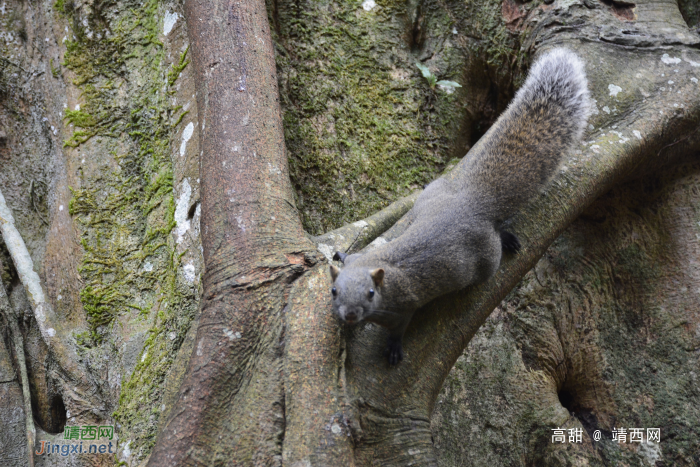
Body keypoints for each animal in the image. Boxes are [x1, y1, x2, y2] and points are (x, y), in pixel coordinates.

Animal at [328, 49, 592, 368]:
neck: (381, 271)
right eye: (333, 290)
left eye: (370, 294)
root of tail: (472, 204)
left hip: (487, 258)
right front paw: (342, 255)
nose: (350, 315)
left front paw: (393, 348)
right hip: (430, 196)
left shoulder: (403, 307)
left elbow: (399, 329)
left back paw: (506, 240)